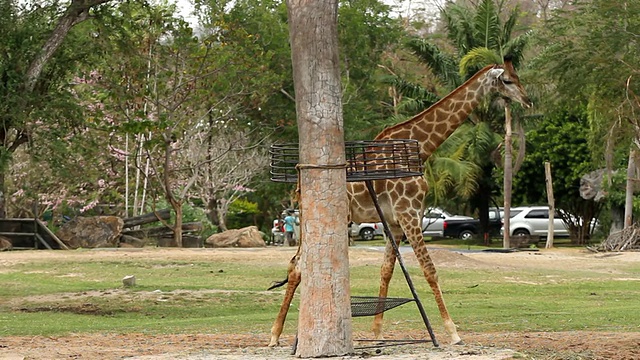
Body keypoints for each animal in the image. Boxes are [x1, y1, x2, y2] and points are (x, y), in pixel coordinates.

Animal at [268, 57, 532, 348]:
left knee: (296, 264)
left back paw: (278, 334)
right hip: (325, 219)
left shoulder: (395, 222)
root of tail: (298, 186)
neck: (423, 148)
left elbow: (387, 270)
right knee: (298, 265)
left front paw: (377, 332)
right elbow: (429, 269)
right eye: (507, 80)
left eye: (518, 77)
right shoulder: (410, 213)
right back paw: (276, 334)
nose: (528, 100)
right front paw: (453, 332)